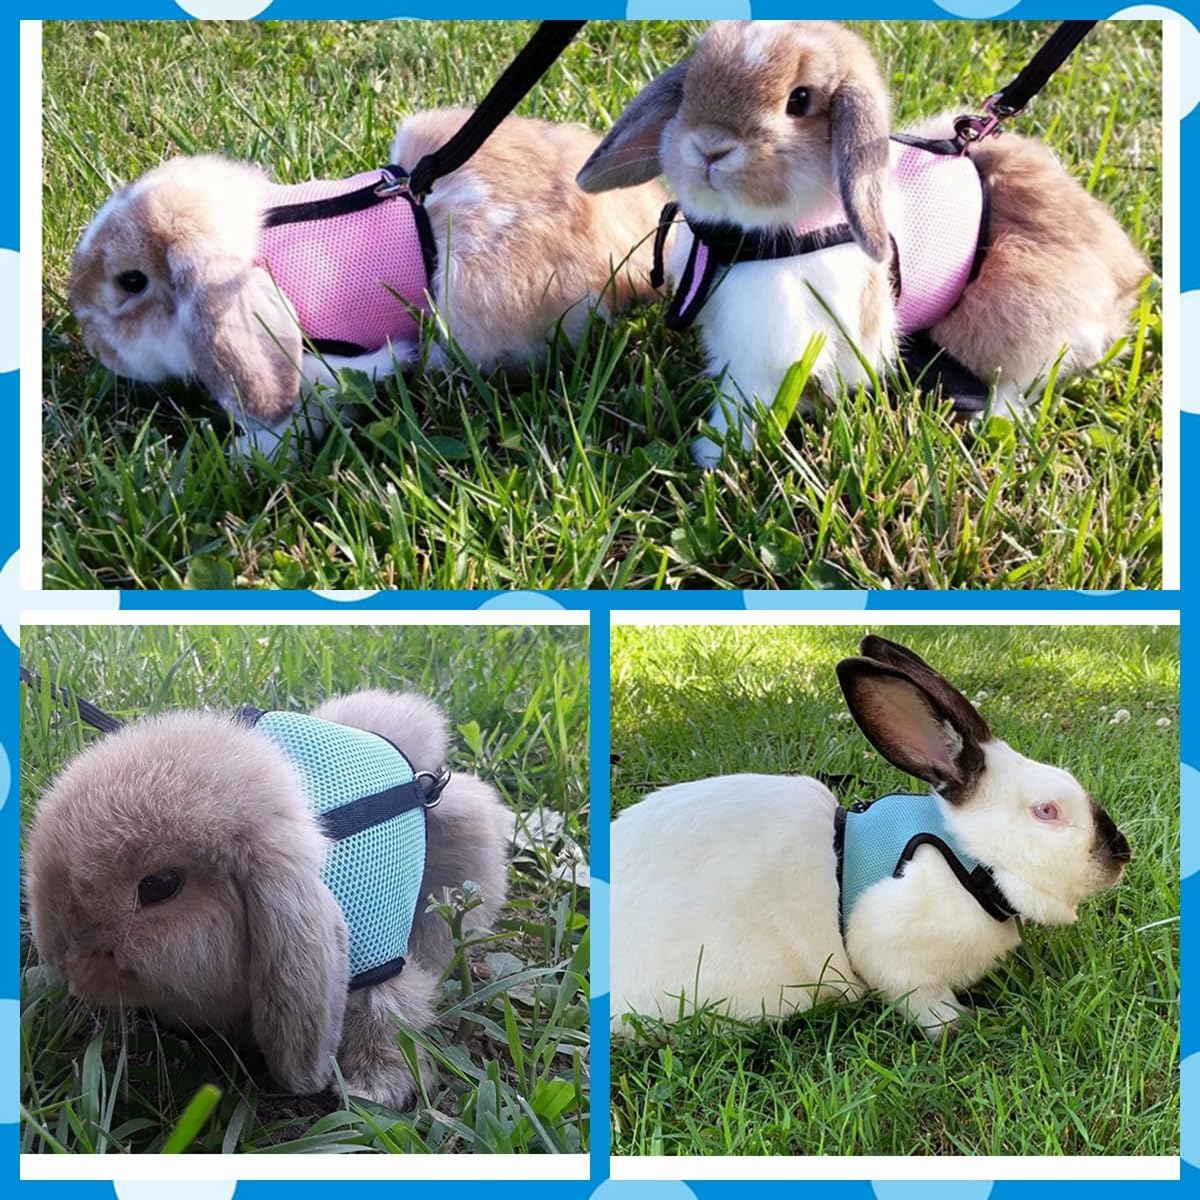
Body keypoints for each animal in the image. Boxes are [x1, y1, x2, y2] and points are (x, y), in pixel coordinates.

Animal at [576, 20, 1151, 467]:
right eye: (692, 84)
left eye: (799, 100)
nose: (709, 147)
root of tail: (1127, 277)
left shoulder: (770, 352)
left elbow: (745, 402)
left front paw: (715, 455)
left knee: (1014, 381)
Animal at [610, 634, 1131, 1038]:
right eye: (1047, 811)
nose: (1121, 853)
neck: (968, 859)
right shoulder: (899, 959)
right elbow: (923, 1001)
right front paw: (960, 1025)